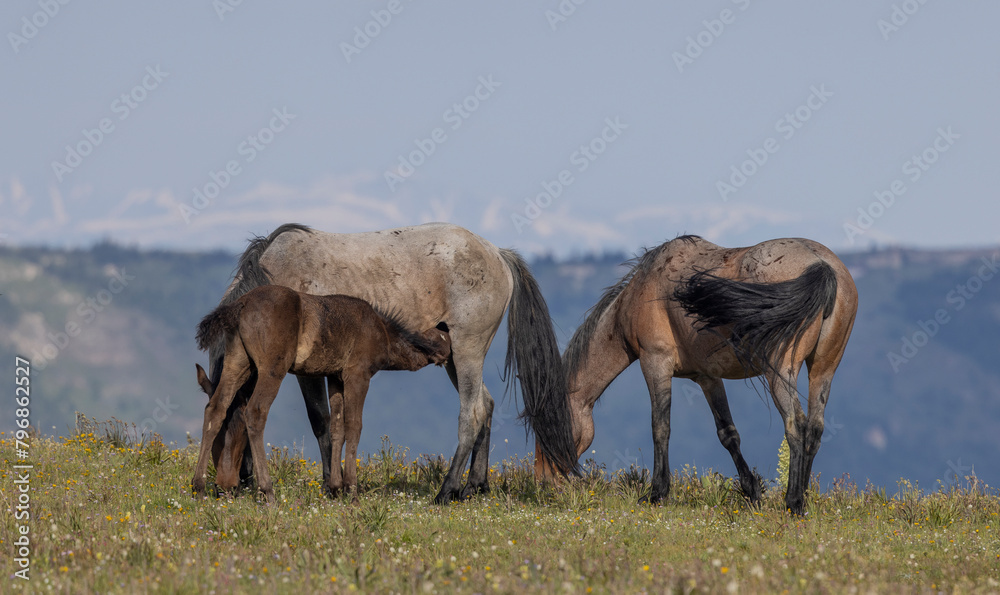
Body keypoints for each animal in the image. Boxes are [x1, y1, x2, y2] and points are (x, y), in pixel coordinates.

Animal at [191, 285, 452, 502]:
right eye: (444, 340)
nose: (445, 357)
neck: (383, 332)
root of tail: (241, 304)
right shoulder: (357, 374)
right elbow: (354, 426)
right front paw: (351, 490)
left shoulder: (335, 377)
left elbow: (336, 427)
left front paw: (336, 487)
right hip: (272, 368)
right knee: (255, 412)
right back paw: (267, 490)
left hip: (238, 363)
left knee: (216, 409)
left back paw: (199, 487)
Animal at [534, 235, 857, 515]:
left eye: (545, 429)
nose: (541, 481)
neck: (639, 294)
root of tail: (821, 265)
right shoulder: (707, 378)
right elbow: (728, 433)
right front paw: (751, 491)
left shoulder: (655, 363)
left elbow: (660, 427)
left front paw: (656, 493)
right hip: (823, 369)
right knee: (814, 428)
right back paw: (803, 497)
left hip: (780, 370)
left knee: (796, 426)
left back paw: (793, 502)